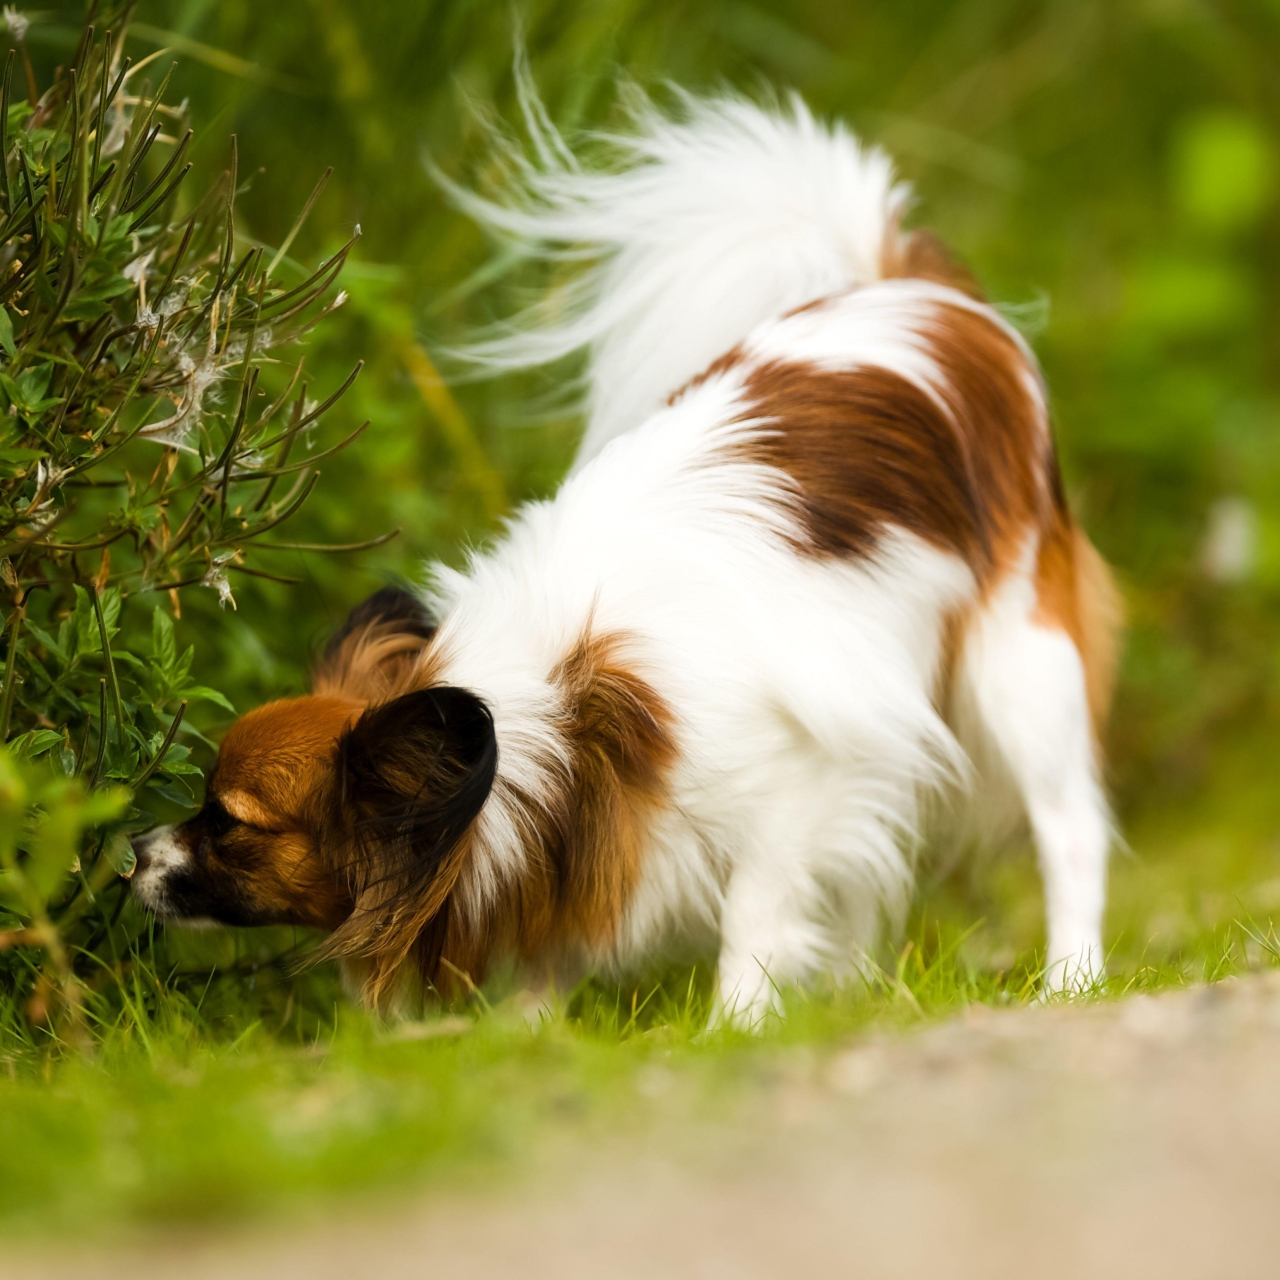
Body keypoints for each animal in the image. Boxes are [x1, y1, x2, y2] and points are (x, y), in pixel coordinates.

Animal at [135, 90, 1126, 1024]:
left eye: (229, 824)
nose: (129, 853)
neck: (562, 719)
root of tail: (904, 292)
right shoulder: (591, 835)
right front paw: (528, 1035)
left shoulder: (803, 782)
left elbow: (755, 912)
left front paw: (734, 1024)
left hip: (1018, 668)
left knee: (1069, 829)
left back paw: (1068, 980)